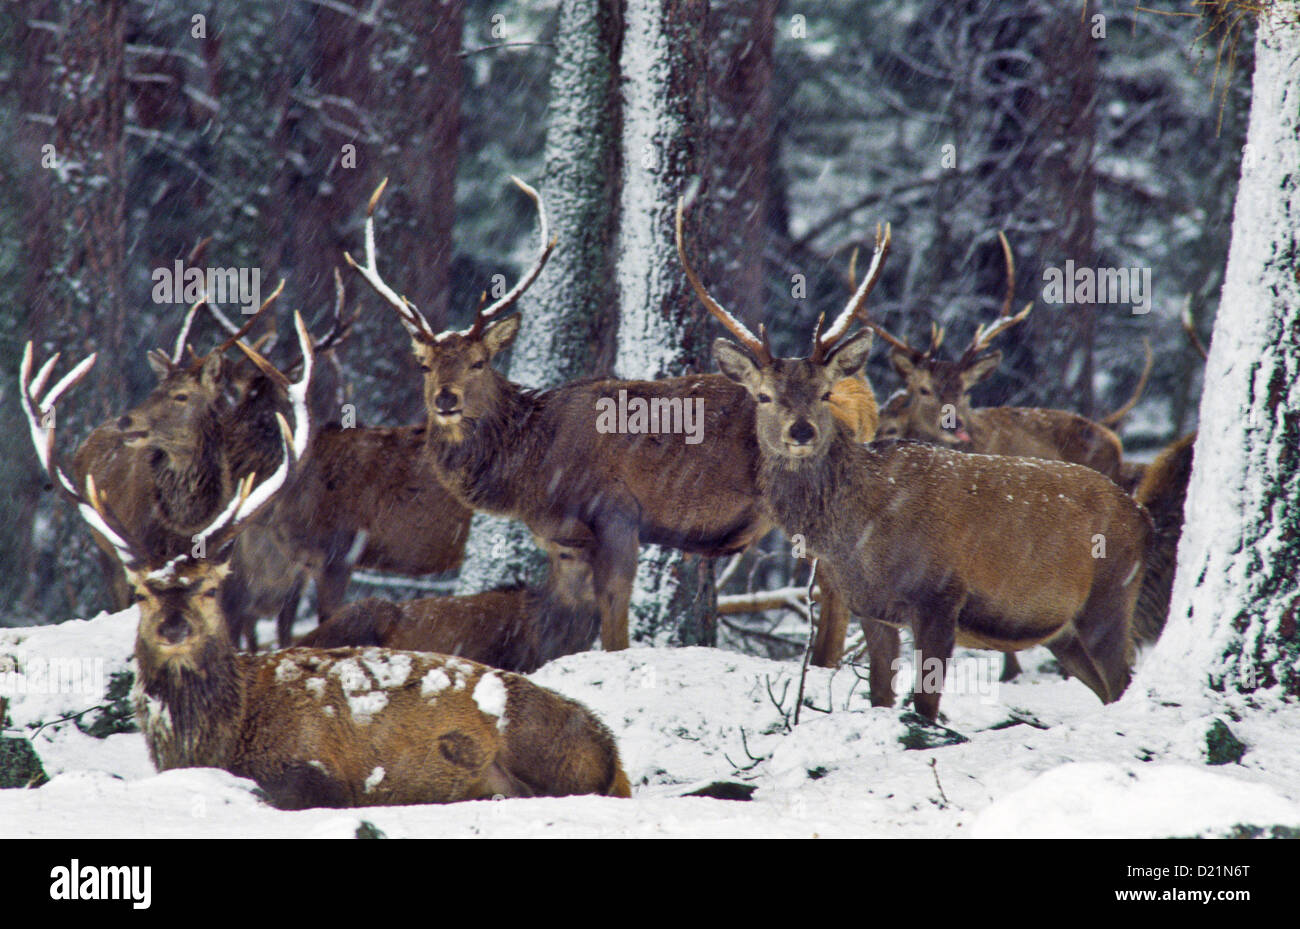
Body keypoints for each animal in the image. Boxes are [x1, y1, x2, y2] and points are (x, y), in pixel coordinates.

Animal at [340, 178, 873, 662]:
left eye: (478, 361)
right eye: (424, 365)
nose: (446, 399)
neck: (532, 467)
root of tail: (852, 401)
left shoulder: (617, 510)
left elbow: (615, 606)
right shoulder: (566, 539)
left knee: (836, 582)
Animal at [676, 206, 1154, 722]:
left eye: (826, 392)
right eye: (763, 396)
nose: (800, 431)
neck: (859, 534)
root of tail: (1142, 515)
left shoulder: (940, 599)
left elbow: (924, 705)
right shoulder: (871, 609)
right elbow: (881, 695)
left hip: (1110, 599)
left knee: (1126, 679)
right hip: (1062, 632)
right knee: (1108, 687)